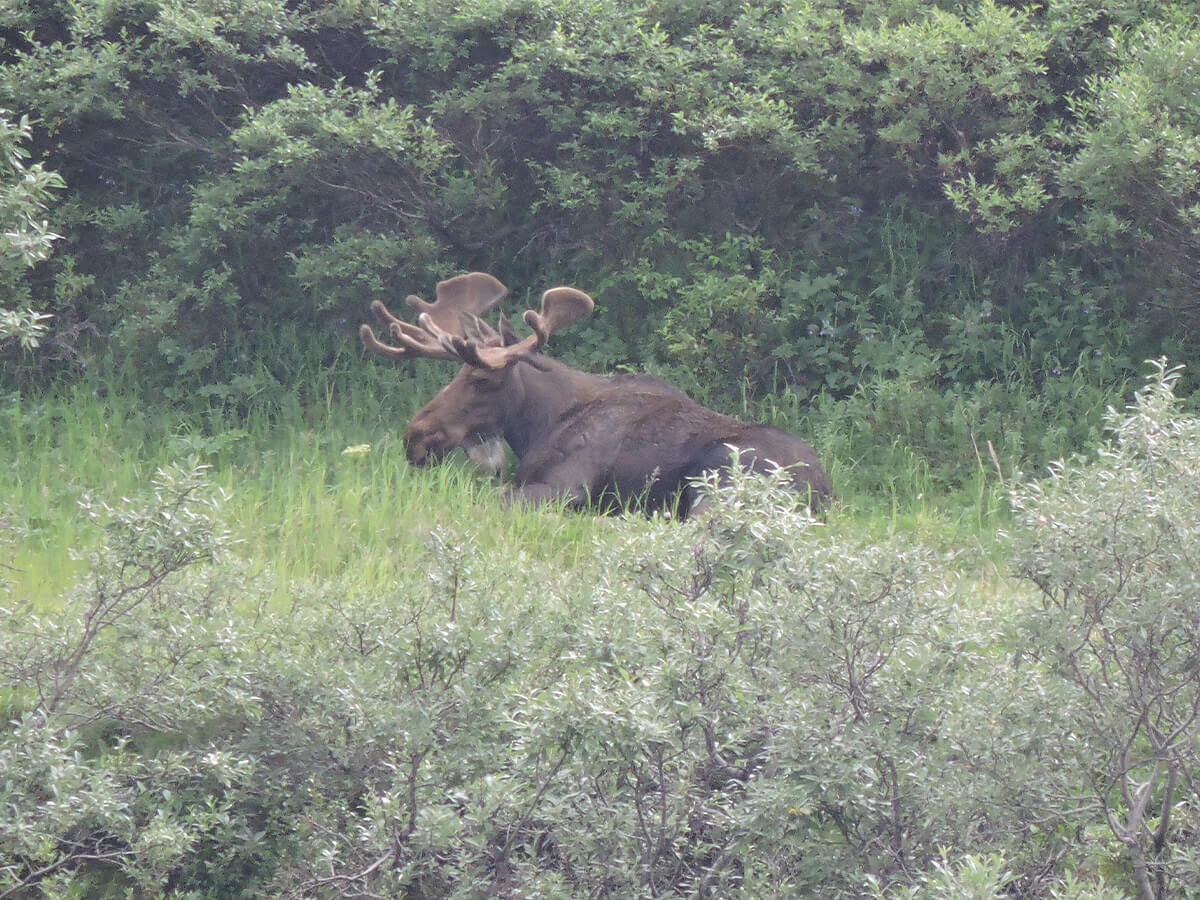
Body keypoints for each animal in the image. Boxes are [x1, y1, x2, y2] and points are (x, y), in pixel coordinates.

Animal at [357, 271, 835, 518]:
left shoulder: (566, 486)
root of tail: (824, 491)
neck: (539, 423)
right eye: (456, 373)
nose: (415, 436)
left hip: (719, 482)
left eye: (481, 381)